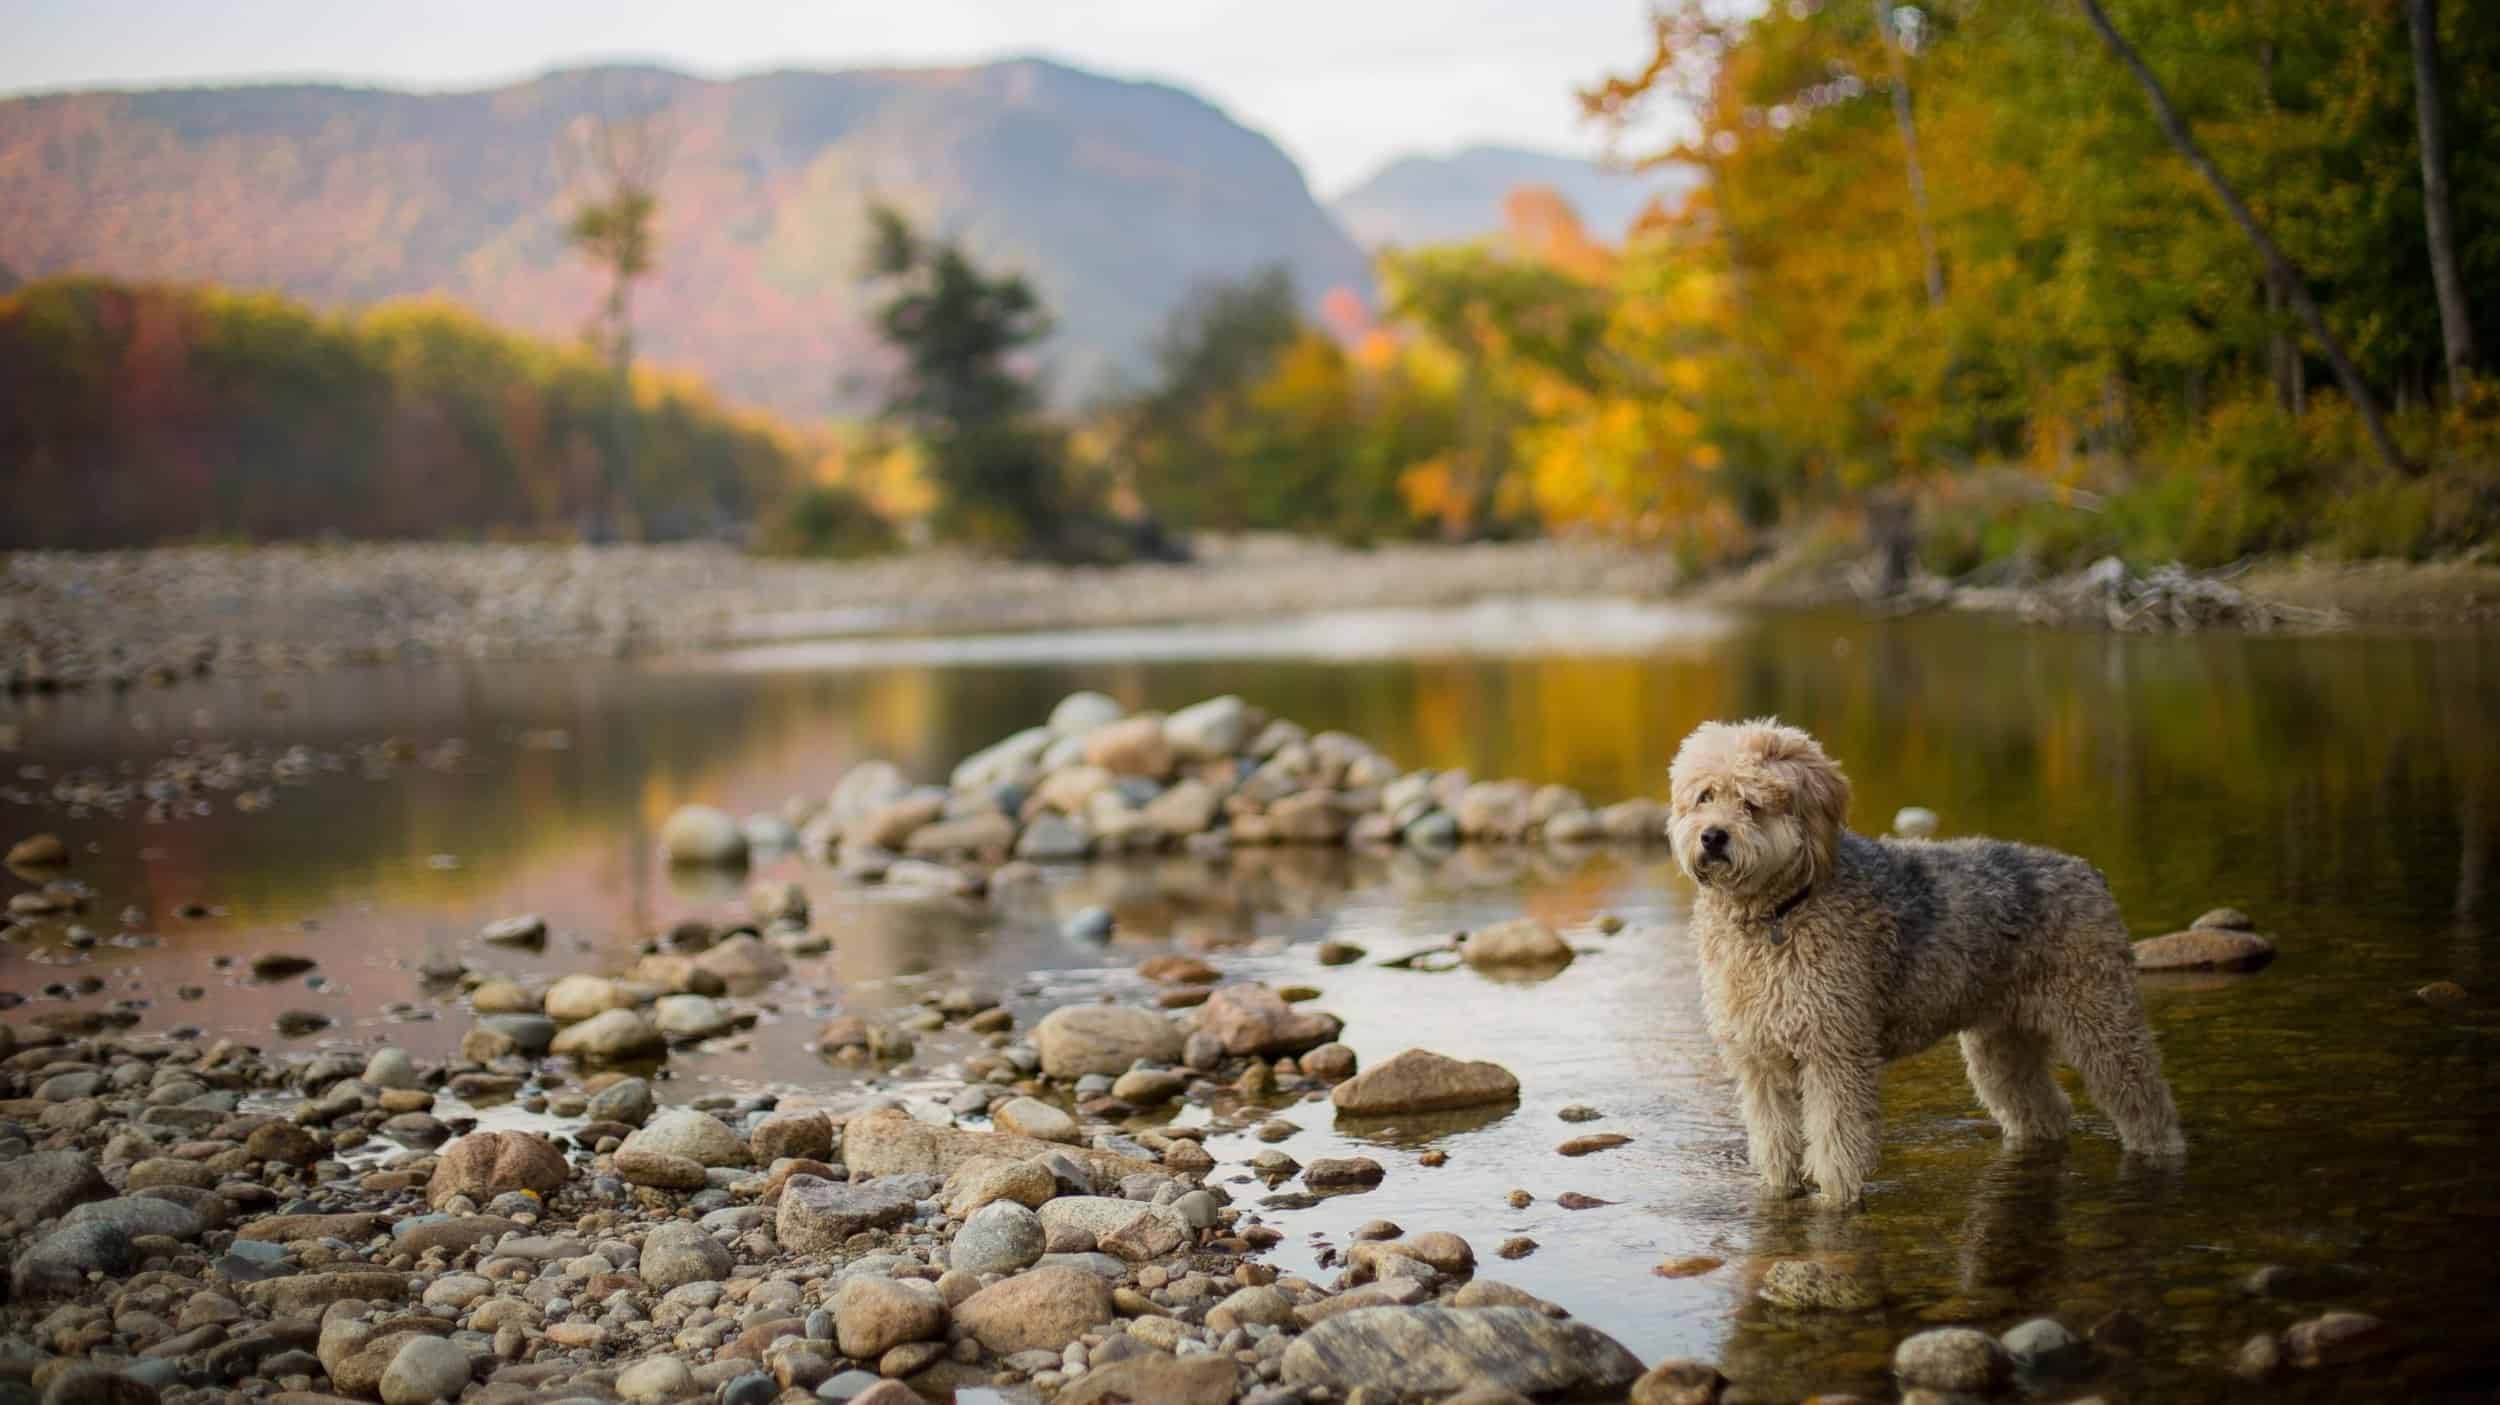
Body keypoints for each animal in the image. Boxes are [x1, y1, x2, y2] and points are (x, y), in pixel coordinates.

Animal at [1670, 715, 2180, 1200]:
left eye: (1752, 803)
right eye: (1705, 796)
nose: (1713, 837)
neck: (1780, 913)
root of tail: (2090, 872)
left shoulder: (1835, 1053)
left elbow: (1836, 1146)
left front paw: (1835, 1201)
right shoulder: (1760, 1061)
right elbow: (1773, 1144)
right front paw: (1778, 1192)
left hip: (2102, 1026)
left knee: (2147, 1105)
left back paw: (2159, 1152)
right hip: (2002, 1047)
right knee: (2046, 1111)